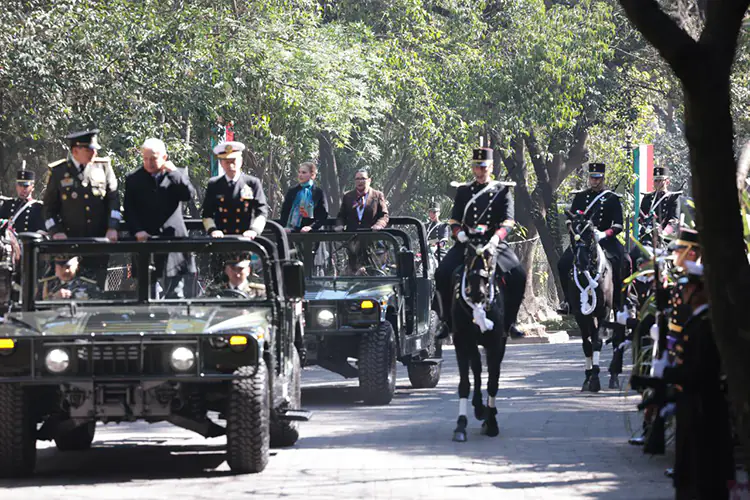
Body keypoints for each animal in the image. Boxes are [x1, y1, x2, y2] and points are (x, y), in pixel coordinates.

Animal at [450, 228, 508, 442]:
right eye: (467, 255)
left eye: (489, 255)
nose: (478, 293)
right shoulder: (460, 340)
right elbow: (465, 383)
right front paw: (461, 424)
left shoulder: (496, 342)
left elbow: (493, 382)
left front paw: (491, 423)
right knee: (475, 367)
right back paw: (478, 407)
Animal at [568, 213, 616, 392]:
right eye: (572, 233)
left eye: (589, 232)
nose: (580, 262)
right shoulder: (579, 314)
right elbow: (587, 344)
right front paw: (588, 377)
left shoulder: (604, 311)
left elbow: (597, 342)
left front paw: (595, 379)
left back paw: (614, 376)